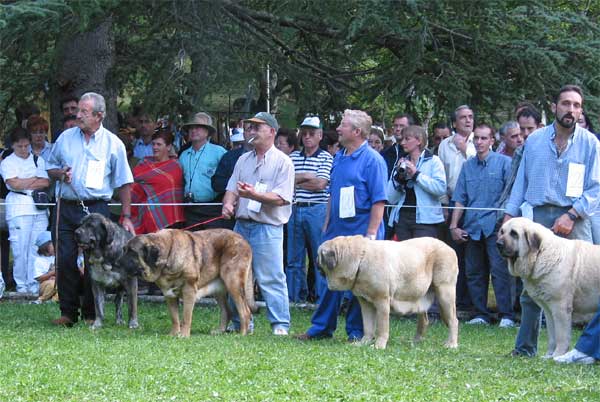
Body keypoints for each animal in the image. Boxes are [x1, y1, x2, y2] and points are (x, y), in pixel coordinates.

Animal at [122, 228, 255, 338]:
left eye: (132, 252)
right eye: (124, 250)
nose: (118, 262)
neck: (168, 254)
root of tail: (244, 240)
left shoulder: (189, 291)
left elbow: (186, 316)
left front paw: (184, 335)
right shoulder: (169, 295)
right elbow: (174, 318)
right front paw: (173, 334)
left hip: (233, 284)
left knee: (245, 312)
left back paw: (242, 334)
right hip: (219, 290)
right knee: (227, 311)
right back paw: (220, 331)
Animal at [316, 236, 458, 348]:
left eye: (319, 255)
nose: (315, 261)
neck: (360, 259)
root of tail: (450, 248)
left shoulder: (382, 300)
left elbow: (382, 327)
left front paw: (379, 345)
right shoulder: (365, 303)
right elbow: (368, 326)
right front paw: (364, 342)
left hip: (445, 293)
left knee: (453, 320)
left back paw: (451, 344)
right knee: (424, 320)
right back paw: (416, 342)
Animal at [494, 218, 600, 356]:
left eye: (514, 233)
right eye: (502, 232)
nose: (498, 244)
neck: (540, 254)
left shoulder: (560, 308)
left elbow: (561, 335)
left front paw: (558, 355)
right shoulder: (549, 310)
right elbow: (552, 335)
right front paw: (549, 355)